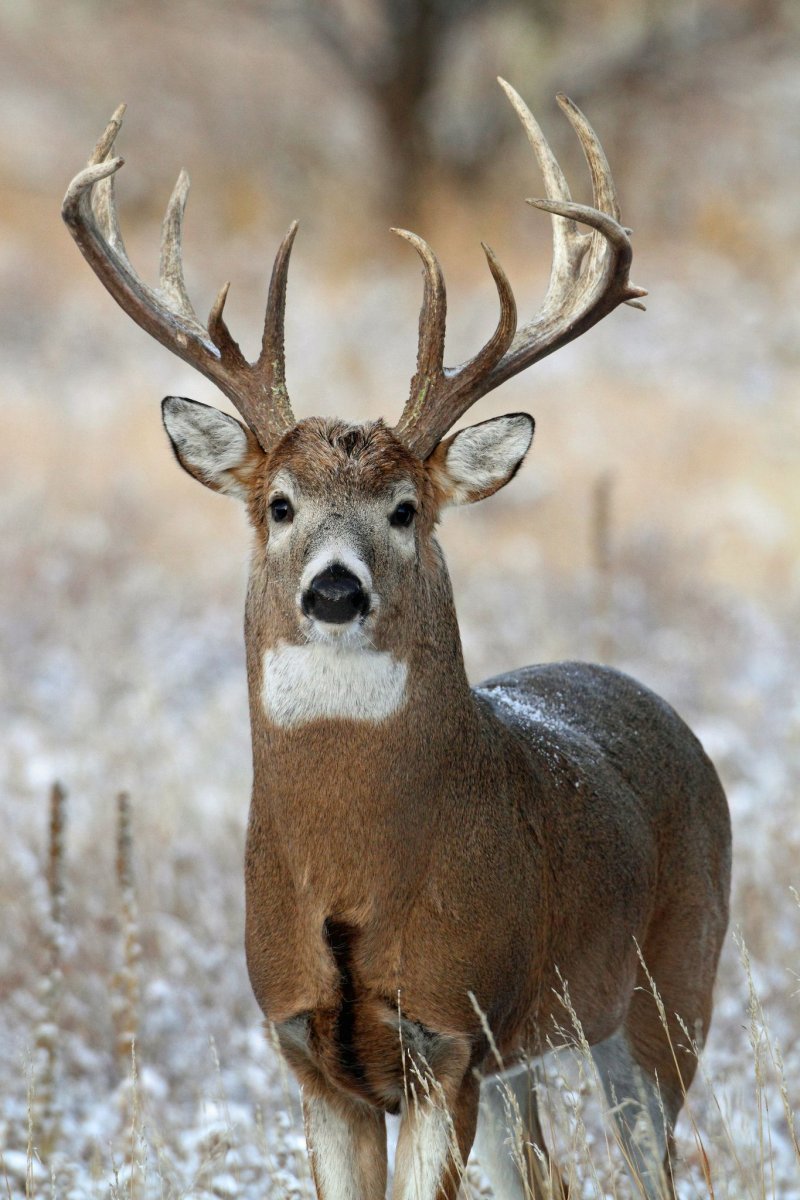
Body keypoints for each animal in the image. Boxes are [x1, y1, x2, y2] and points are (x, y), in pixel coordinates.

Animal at [63, 80, 731, 1200]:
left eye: (405, 508)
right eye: (281, 504)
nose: (335, 589)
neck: (350, 864)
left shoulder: (446, 1034)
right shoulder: (307, 1045)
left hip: (665, 997)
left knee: (651, 1167)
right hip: (521, 1062)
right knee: (542, 1175)